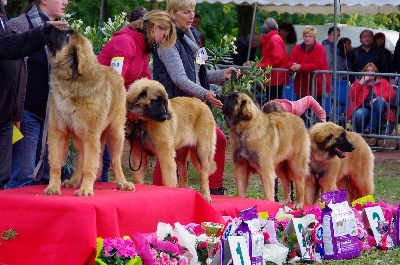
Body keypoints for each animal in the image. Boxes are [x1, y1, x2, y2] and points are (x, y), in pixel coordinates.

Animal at [42, 24, 134, 194]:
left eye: (67, 34)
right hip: (79, 135)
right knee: (81, 158)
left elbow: (89, 166)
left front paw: (85, 189)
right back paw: (74, 180)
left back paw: (123, 183)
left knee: (115, 161)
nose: (46, 24)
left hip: (116, 133)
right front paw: (53, 187)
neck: (71, 80)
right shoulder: (58, 132)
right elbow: (56, 165)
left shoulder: (91, 136)